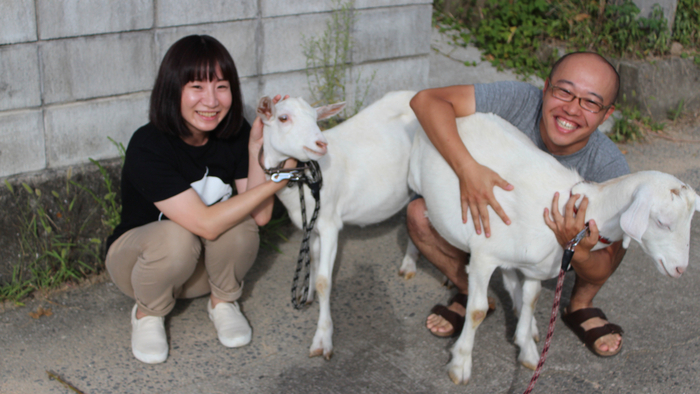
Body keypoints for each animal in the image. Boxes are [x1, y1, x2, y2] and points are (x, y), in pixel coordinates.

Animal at [258, 91, 422, 358]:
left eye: (316, 118)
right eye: (283, 118)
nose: (321, 144)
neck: (305, 182)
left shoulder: (329, 224)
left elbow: (325, 281)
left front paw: (323, 339)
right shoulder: (311, 225)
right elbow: (313, 259)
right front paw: (307, 294)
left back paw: (412, 263)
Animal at [408, 111, 696, 384]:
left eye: (691, 221)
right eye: (662, 222)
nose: (680, 269)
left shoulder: (535, 266)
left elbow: (531, 298)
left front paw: (528, 351)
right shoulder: (483, 255)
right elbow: (478, 310)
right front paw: (460, 365)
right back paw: (409, 264)